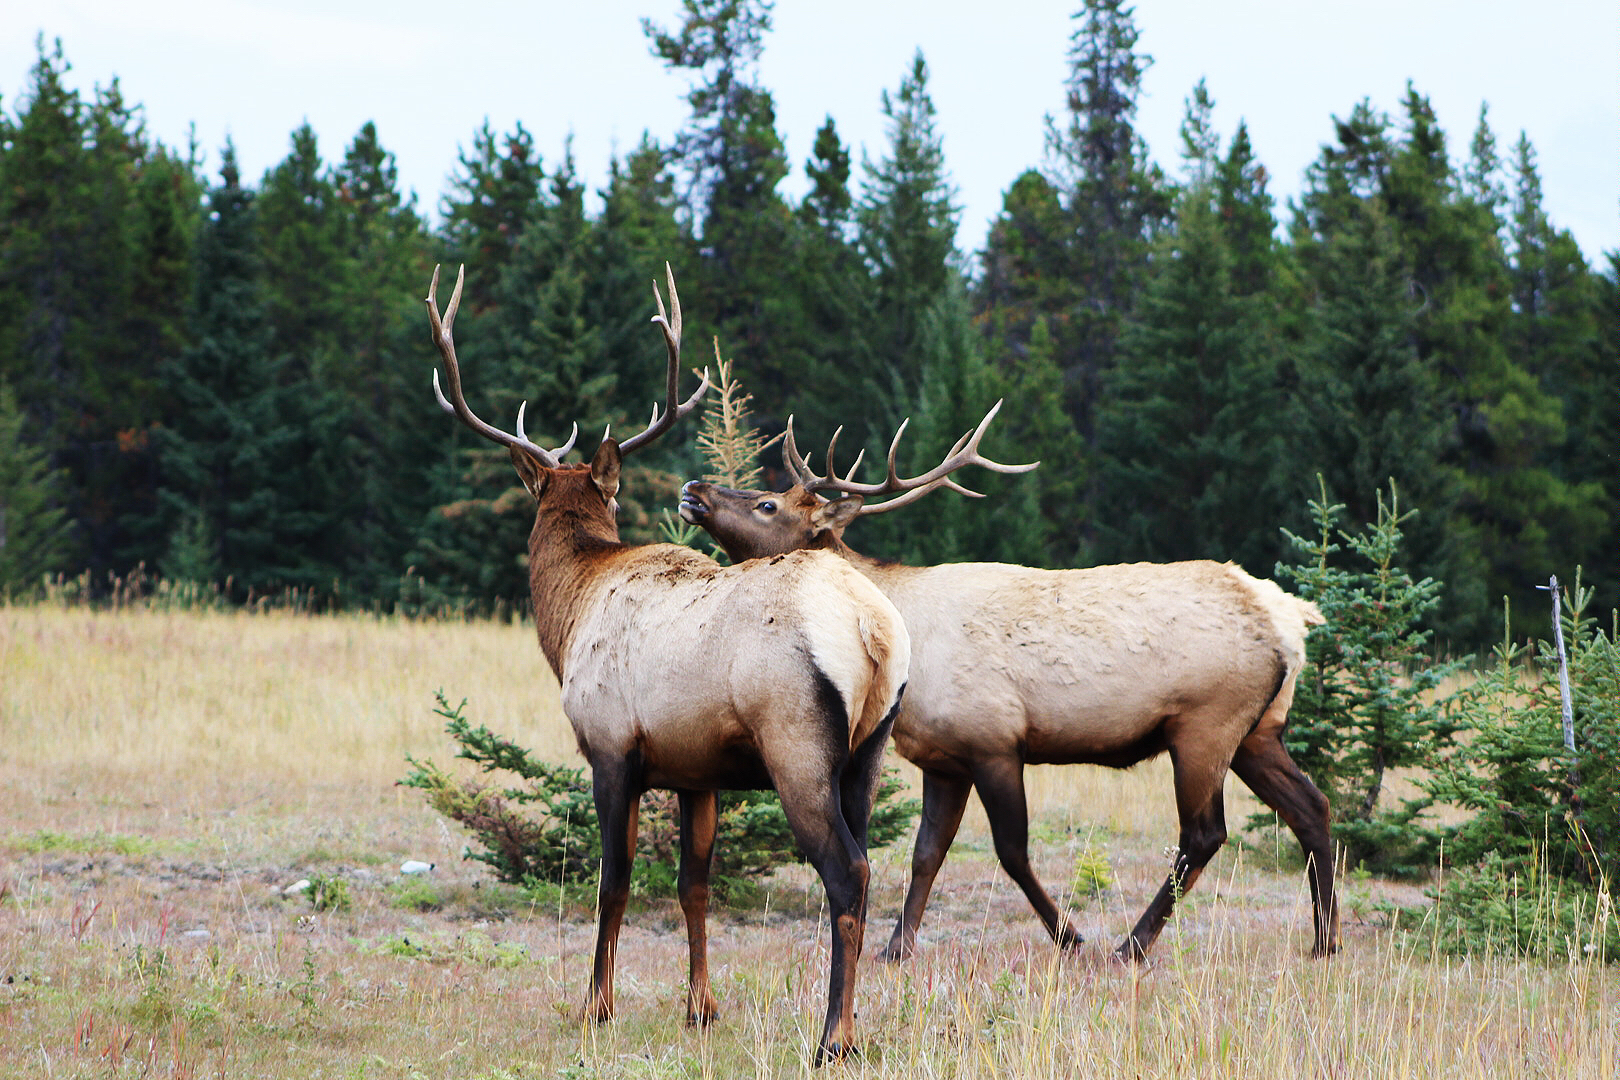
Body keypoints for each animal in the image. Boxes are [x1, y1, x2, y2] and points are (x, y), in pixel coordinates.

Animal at [424, 263, 913, 1062]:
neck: (569, 613)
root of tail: (874, 629)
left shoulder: (612, 748)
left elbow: (613, 882)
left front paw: (595, 1006)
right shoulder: (695, 771)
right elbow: (694, 886)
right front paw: (701, 1007)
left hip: (798, 744)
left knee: (847, 873)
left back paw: (833, 1038)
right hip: (871, 750)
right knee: (868, 869)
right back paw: (850, 1026)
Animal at [673, 404, 1341, 965]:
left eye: (767, 504)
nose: (694, 490)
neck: (908, 651)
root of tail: (1291, 618)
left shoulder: (994, 739)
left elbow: (1011, 851)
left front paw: (1070, 936)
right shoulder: (944, 758)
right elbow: (925, 854)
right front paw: (895, 947)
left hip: (1206, 723)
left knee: (1205, 833)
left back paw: (1131, 944)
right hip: (1260, 729)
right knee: (1311, 806)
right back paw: (1324, 942)